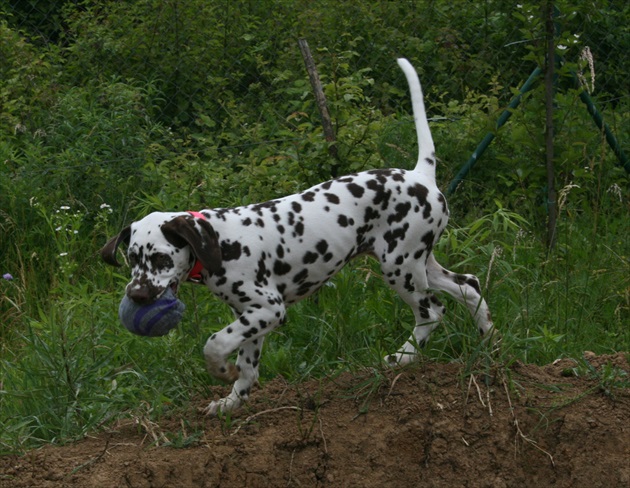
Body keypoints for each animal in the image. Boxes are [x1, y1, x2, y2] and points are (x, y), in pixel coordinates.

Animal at [102, 58, 498, 416]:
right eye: (132, 259)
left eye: (160, 258)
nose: (137, 297)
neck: (220, 242)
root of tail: (421, 175)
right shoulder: (251, 318)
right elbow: (247, 368)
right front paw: (232, 401)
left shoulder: (269, 309)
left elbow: (214, 343)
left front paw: (220, 370)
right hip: (420, 263)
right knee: (469, 286)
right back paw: (489, 343)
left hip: (401, 269)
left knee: (432, 311)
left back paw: (403, 357)